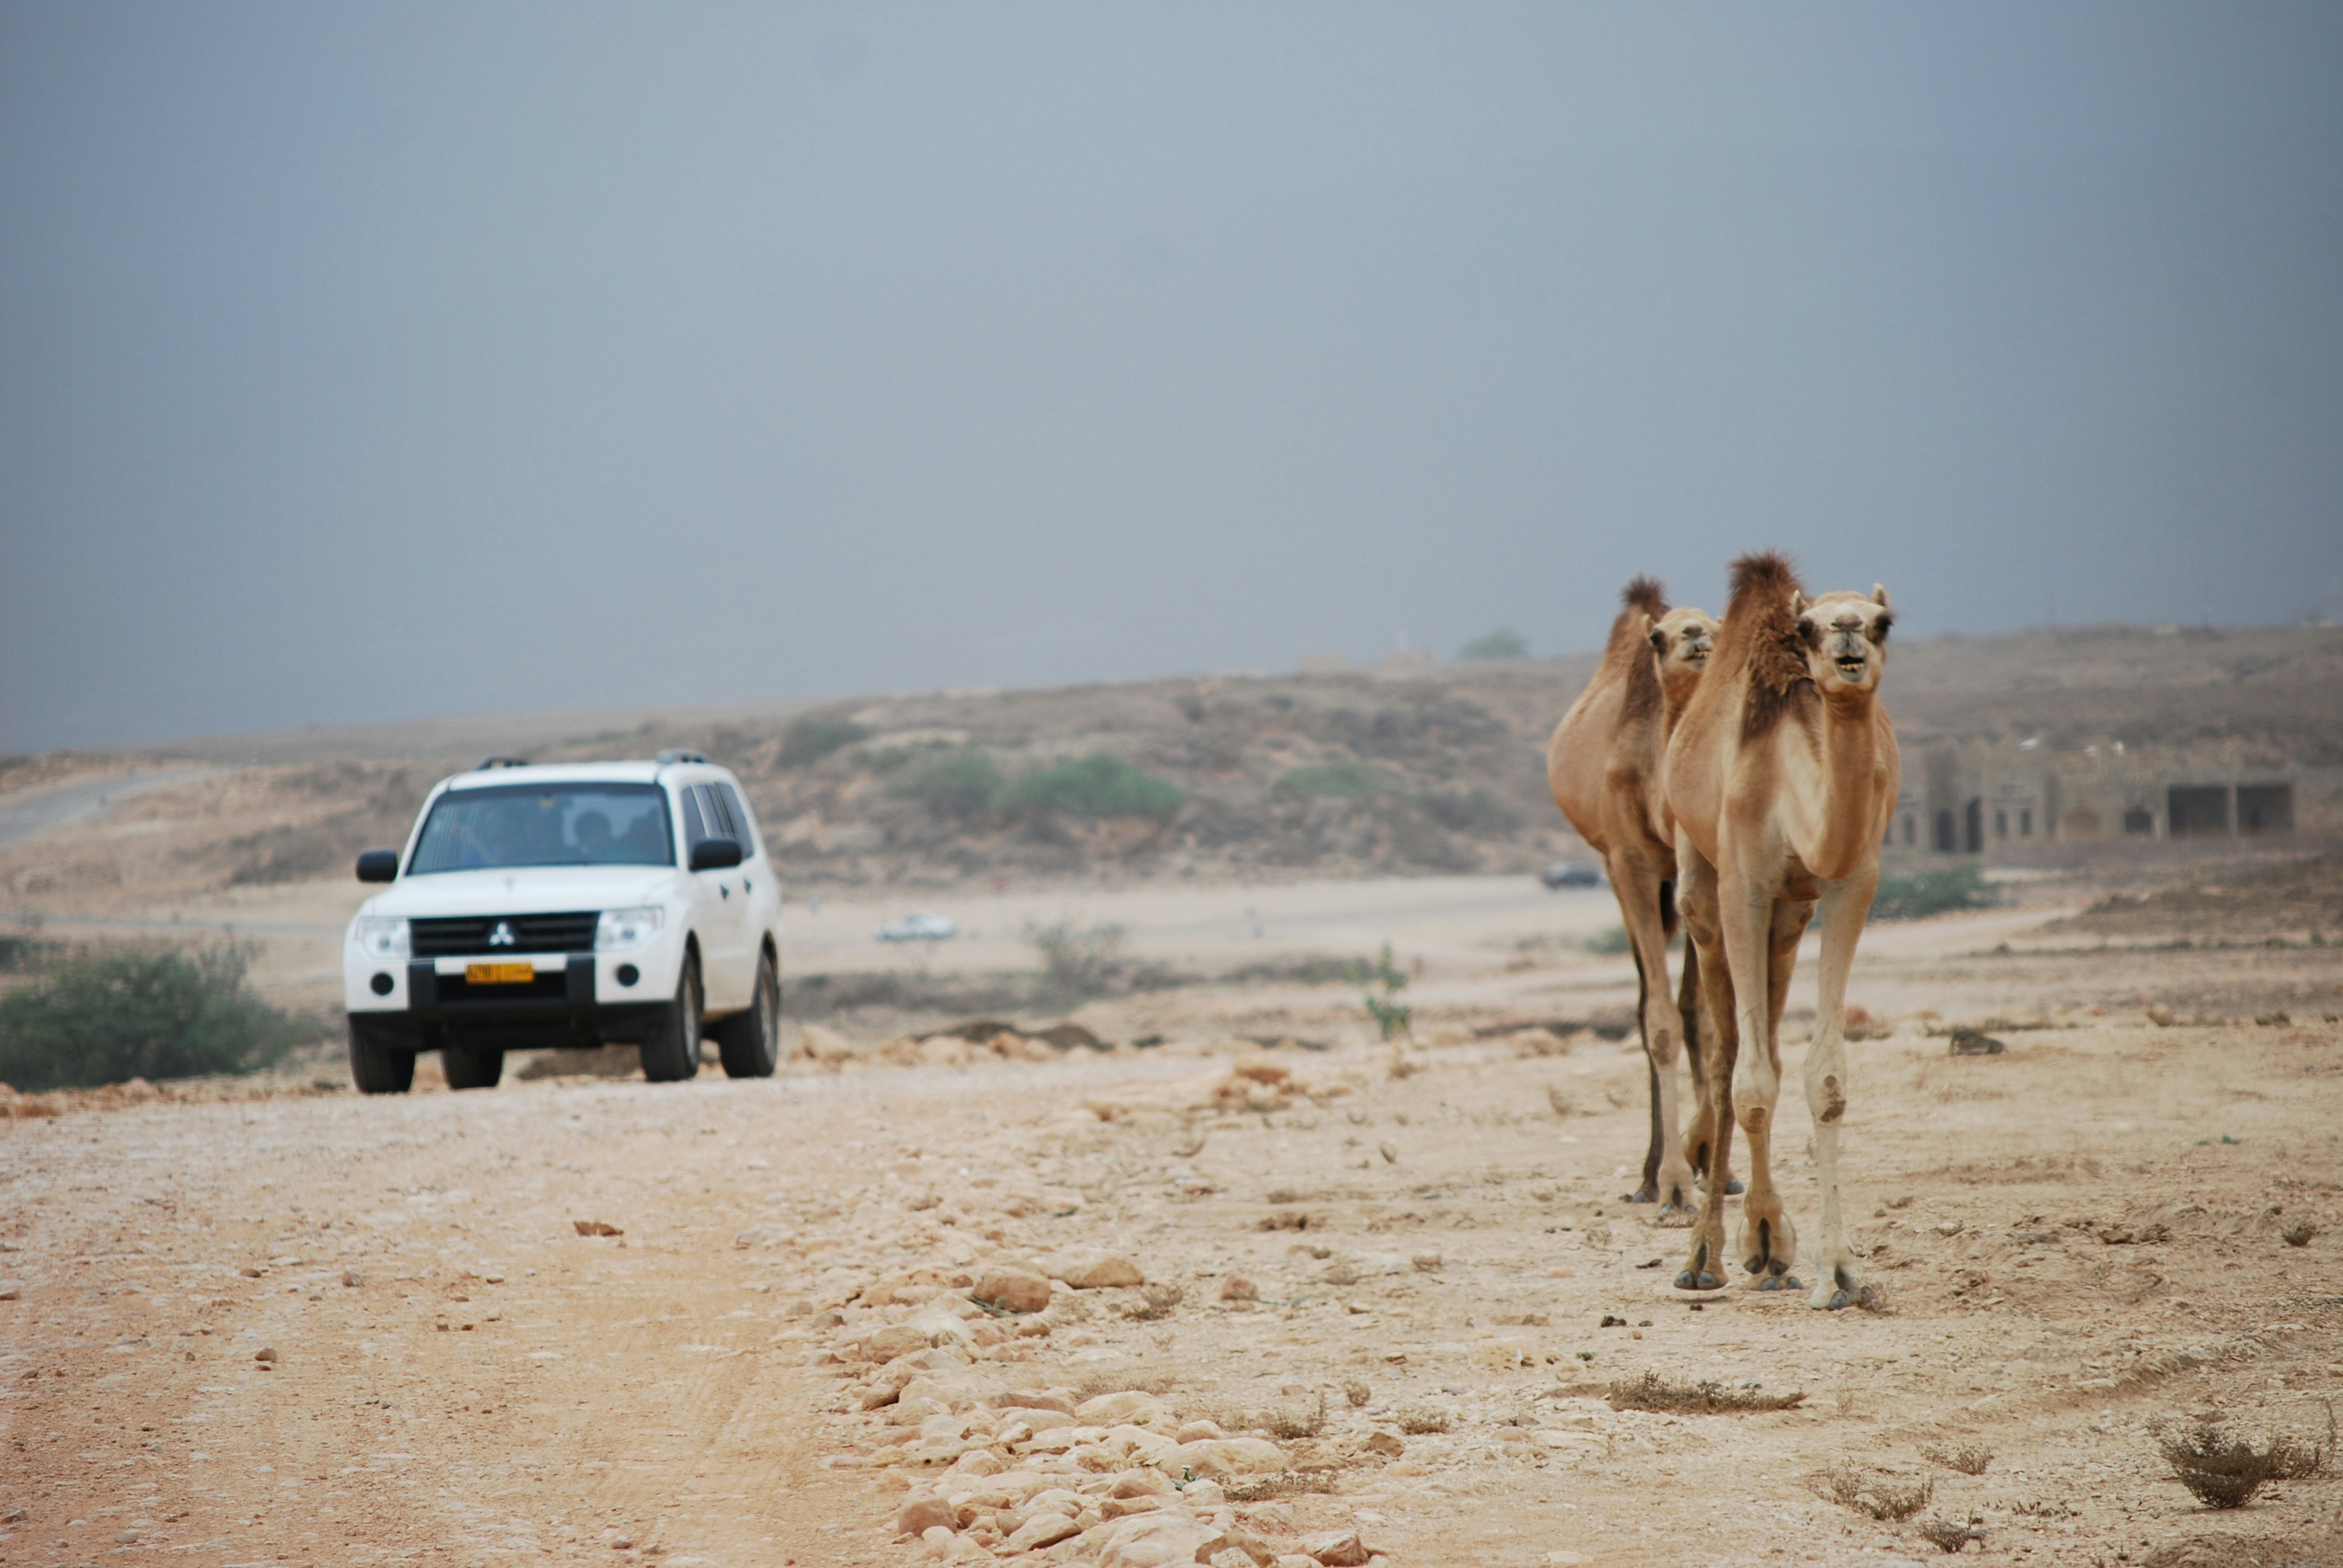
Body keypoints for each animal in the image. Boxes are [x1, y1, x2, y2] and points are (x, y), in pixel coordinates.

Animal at [1547, 578, 1723, 1219]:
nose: (1695, 635)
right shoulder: (1632, 865)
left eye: (1720, 625)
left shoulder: (1707, 869)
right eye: (1658, 638)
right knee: (1648, 1002)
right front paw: (1674, 1180)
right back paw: (1650, 1177)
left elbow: (1703, 1016)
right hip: (1614, 870)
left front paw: (1709, 1159)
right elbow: (1662, 1021)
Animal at [1664, 552, 1900, 1309]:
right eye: (1805, 627)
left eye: (1885, 620)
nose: (1848, 633)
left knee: (1762, 1034)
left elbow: (1823, 1077)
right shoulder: (1744, 883)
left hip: (1790, 916)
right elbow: (1748, 1083)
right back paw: (1707, 1254)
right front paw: (1739, 1247)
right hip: (1701, 877)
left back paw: (1769, 1250)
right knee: (1726, 1057)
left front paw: (1838, 1272)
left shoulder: (1850, 879)